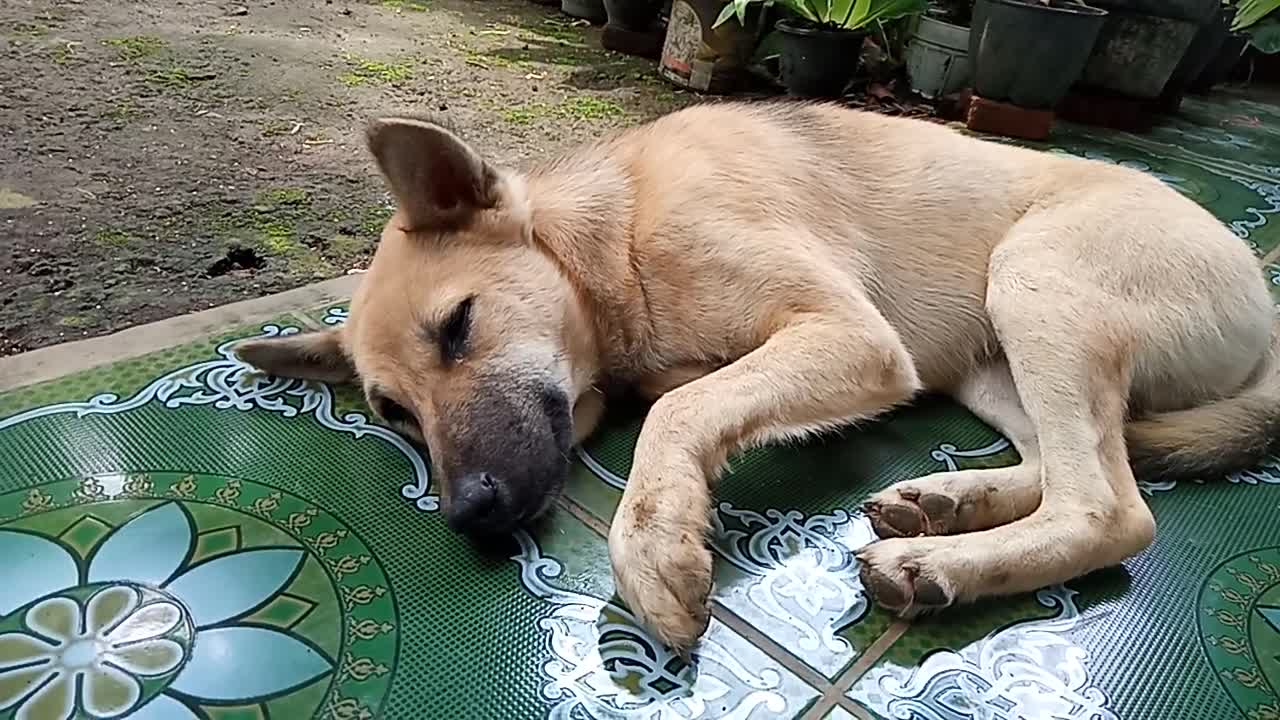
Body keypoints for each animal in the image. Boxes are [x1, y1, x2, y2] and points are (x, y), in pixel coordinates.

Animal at [232, 102, 1280, 650]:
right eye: (394, 412)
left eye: (458, 329)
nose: (470, 514)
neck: (619, 233)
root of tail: (1265, 309)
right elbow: (689, 392)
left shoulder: (852, 337)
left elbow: (680, 410)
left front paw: (655, 542)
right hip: (988, 359)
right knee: (1068, 469)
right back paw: (947, 505)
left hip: (1036, 280)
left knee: (1111, 506)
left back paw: (939, 564)